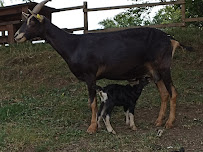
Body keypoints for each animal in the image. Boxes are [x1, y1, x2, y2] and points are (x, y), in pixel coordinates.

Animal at [13, 0, 189, 134]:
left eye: (32, 21)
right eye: (23, 21)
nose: (16, 36)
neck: (73, 45)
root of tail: (170, 39)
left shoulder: (90, 76)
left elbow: (92, 102)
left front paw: (92, 127)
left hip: (164, 67)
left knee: (173, 92)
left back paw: (169, 123)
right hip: (154, 72)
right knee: (164, 94)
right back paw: (158, 121)